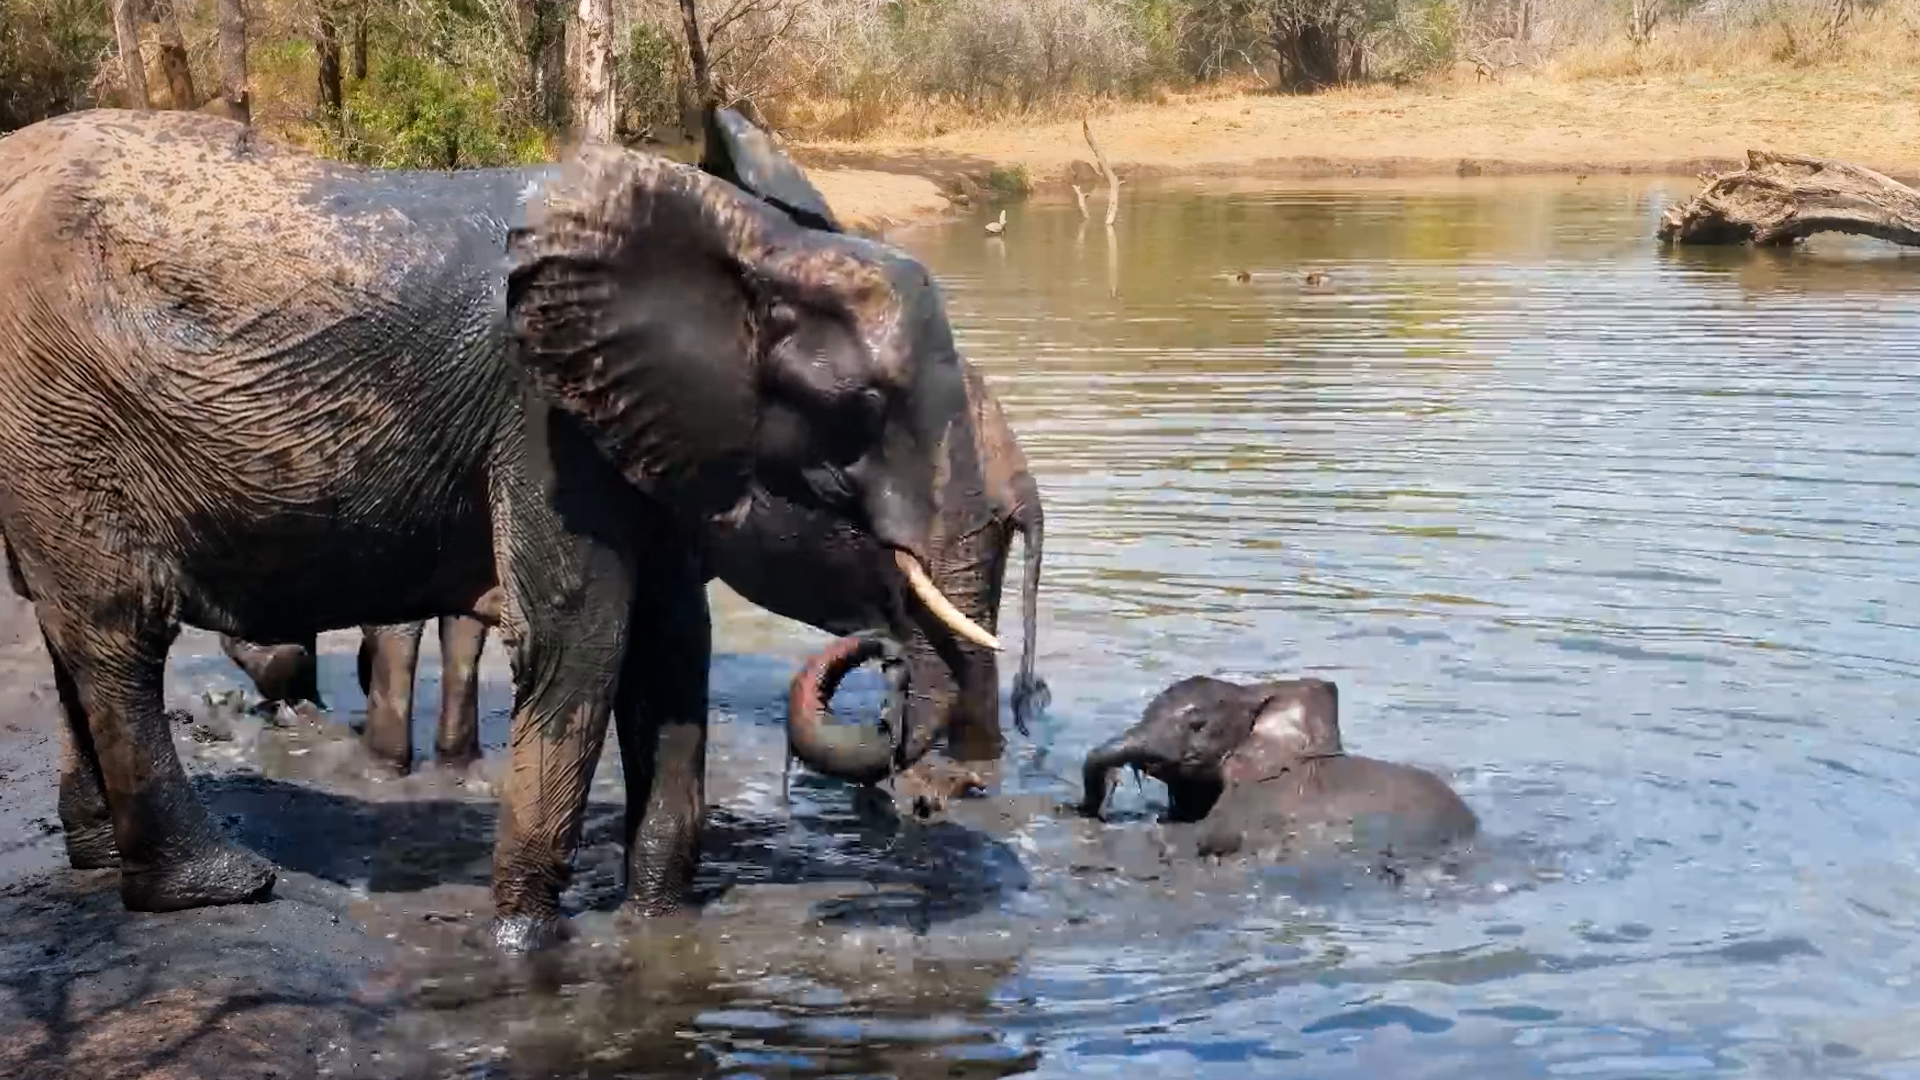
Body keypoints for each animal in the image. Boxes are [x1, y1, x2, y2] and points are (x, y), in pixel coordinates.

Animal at [0, 105, 997, 951]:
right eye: (861, 405)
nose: (886, 670)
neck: (748, 244)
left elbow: (673, 649)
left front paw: (656, 926)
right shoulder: (543, 425)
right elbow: (580, 644)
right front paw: (528, 944)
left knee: (67, 630)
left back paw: (99, 858)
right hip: (63, 409)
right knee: (118, 633)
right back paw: (219, 885)